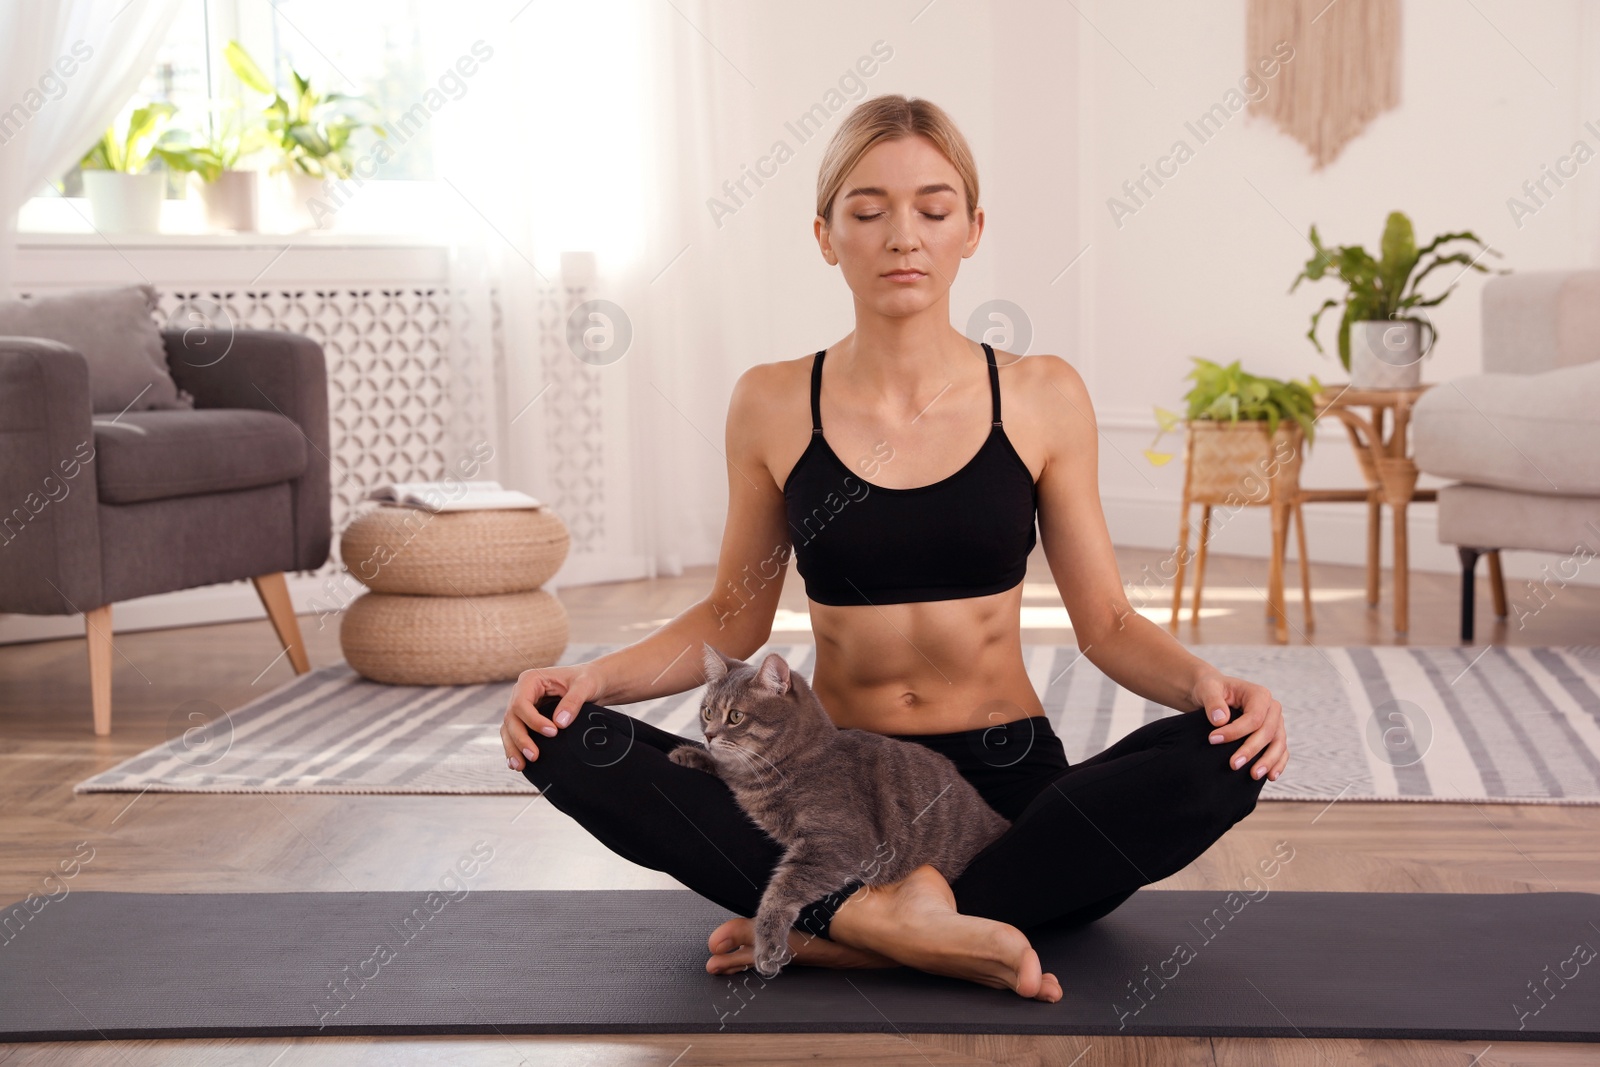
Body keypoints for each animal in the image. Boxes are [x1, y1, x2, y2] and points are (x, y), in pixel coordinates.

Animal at [668, 643, 1004, 979]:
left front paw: (768, 946)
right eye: (707, 712)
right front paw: (689, 754)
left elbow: (781, 889)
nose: (709, 735)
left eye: (735, 716)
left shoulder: (837, 843)